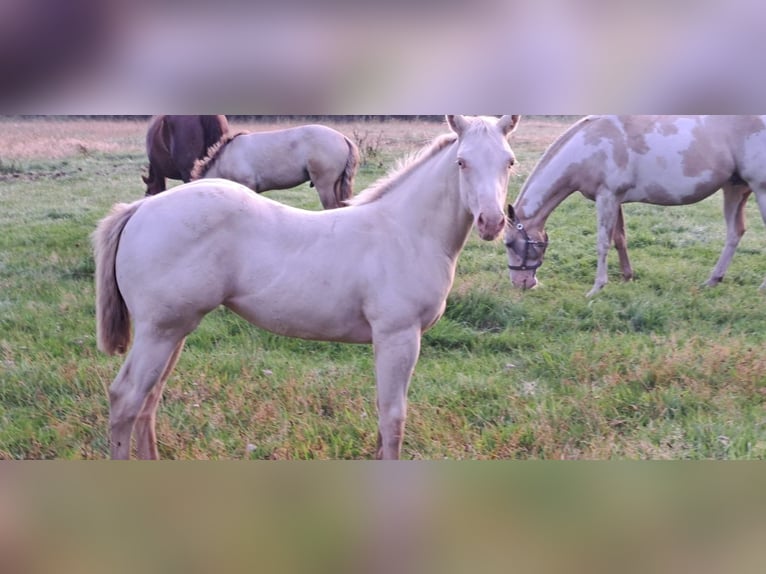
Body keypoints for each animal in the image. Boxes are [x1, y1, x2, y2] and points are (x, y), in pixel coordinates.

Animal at [504, 115, 766, 297]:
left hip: (760, 190)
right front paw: (627, 276)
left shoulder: (607, 197)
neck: (589, 146)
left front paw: (597, 287)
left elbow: (603, 243)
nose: (521, 284)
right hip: (734, 190)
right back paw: (713, 280)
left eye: (508, 243)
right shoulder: (615, 199)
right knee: (734, 233)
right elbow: (620, 238)